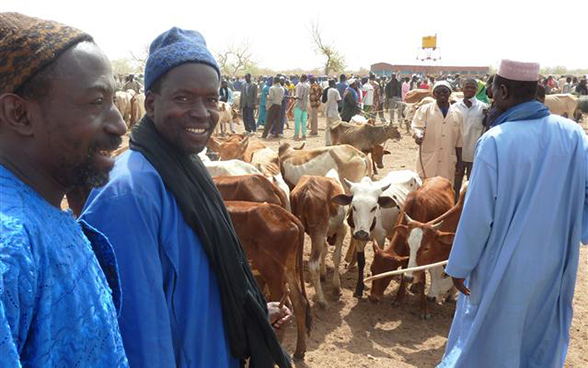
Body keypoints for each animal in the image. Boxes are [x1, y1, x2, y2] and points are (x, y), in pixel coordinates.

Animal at [224, 201, 310, 360]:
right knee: (299, 302)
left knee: (281, 308)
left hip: (273, 274)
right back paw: (299, 351)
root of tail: (283, 213)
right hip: (287, 269)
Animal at [290, 170, 346, 308]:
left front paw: (323, 274)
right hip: (318, 231)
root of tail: (306, 190)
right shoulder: (342, 229)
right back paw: (322, 301)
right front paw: (336, 287)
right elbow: (336, 257)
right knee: (313, 264)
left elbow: (324, 251)